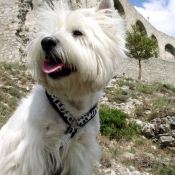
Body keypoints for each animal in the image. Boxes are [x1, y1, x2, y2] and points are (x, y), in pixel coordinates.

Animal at [0, 0, 126, 174]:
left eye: (78, 32)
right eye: (50, 31)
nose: (46, 42)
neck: (72, 107)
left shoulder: (80, 151)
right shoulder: (32, 149)